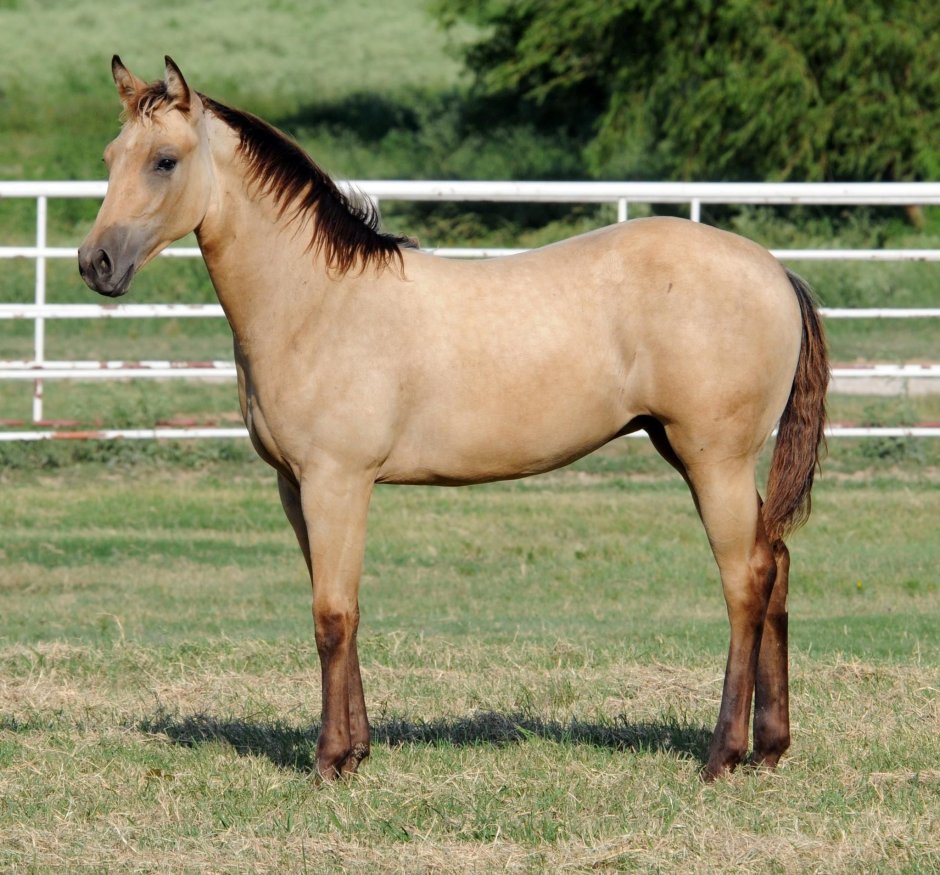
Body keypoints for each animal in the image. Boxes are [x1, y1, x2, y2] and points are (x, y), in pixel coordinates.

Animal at [79, 57, 828, 781]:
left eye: (165, 160)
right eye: (111, 154)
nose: (96, 263)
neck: (318, 302)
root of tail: (775, 270)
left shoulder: (337, 482)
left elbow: (331, 615)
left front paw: (329, 761)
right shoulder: (295, 487)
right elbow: (342, 609)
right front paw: (357, 751)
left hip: (713, 459)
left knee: (745, 581)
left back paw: (722, 755)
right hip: (693, 453)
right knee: (777, 564)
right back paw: (770, 748)